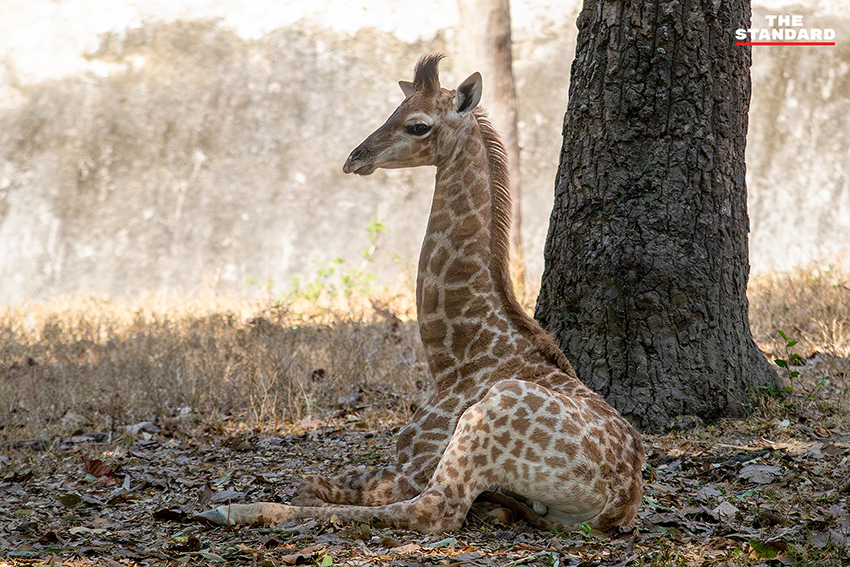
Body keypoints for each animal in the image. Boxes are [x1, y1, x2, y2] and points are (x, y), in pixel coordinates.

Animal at [194, 55, 644, 536]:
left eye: (418, 125)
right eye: (394, 109)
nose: (355, 157)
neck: (454, 358)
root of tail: (620, 502)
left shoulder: (415, 465)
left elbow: (325, 489)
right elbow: (317, 480)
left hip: (486, 419)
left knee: (432, 510)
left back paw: (232, 510)